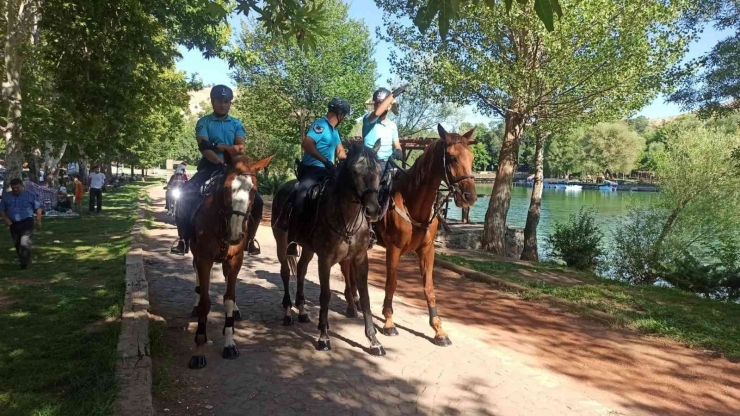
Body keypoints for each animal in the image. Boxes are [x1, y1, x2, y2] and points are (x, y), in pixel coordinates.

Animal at [189, 151, 274, 368]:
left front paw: (229, 342)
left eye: (254, 189)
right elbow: (205, 302)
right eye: (227, 187)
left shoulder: (236, 259)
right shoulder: (204, 259)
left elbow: (228, 298)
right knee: (198, 280)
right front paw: (199, 349)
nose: (235, 233)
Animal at [272, 142, 388, 354]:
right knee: (285, 272)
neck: (347, 219)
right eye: (354, 170)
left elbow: (365, 297)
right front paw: (324, 336)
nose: (373, 210)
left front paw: (373, 340)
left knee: (300, 270)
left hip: (308, 249)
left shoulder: (360, 259)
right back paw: (288, 312)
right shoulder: (325, 260)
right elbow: (325, 296)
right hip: (282, 242)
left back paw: (302, 311)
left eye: (378, 169)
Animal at [342, 125, 476, 346]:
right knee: (346, 269)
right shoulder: (393, 250)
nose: (470, 196)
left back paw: (355, 299)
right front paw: (389, 322)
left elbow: (429, 288)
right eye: (452, 157)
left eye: (472, 157)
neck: (413, 203)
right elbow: (391, 284)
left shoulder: (427, 250)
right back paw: (351, 303)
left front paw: (438, 329)